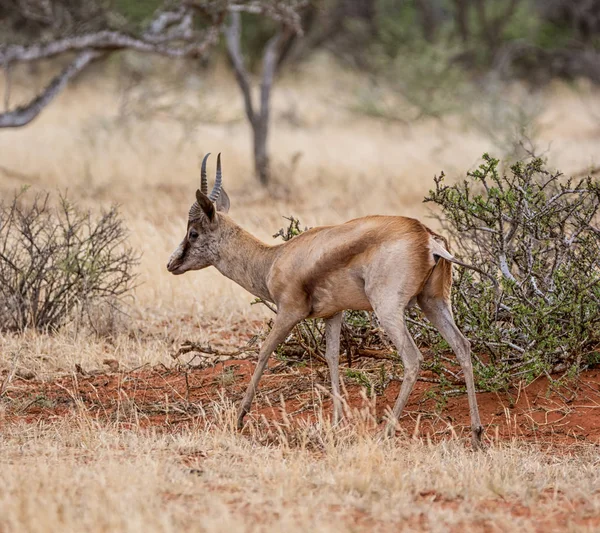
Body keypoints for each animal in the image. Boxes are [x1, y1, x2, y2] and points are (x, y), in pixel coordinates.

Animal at [169, 153, 488, 444]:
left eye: (193, 233)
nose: (171, 264)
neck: (272, 260)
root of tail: (427, 239)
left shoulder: (288, 312)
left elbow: (264, 352)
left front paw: (239, 417)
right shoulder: (333, 314)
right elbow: (333, 357)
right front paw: (335, 422)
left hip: (388, 309)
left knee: (413, 358)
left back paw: (385, 433)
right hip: (432, 302)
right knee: (462, 346)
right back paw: (476, 433)